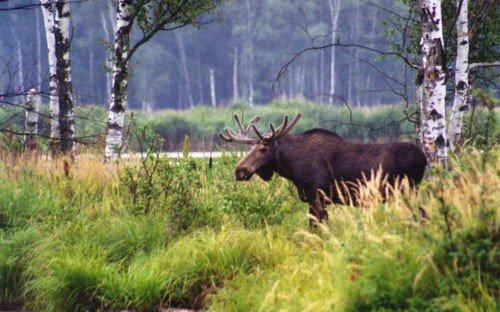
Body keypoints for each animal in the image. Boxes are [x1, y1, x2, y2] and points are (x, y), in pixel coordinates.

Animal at [217, 113, 428, 223]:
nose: (239, 171)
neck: (293, 168)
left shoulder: (318, 197)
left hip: (409, 190)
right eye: (249, 147)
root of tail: (424, 158)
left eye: (263, 148)